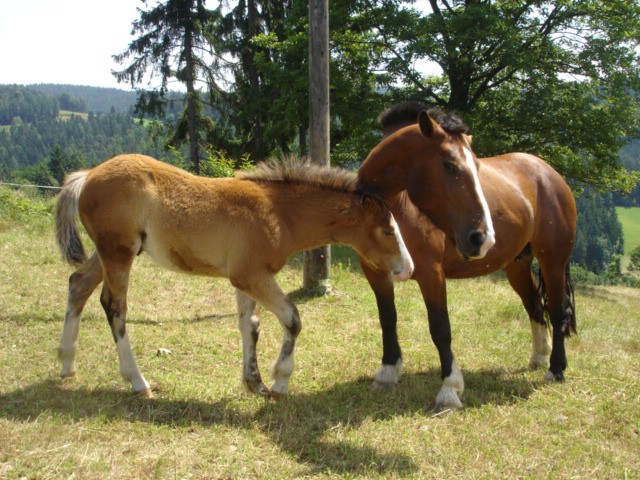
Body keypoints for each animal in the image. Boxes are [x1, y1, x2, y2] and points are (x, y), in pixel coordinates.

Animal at [56, 154, 416, 398]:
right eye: (387, 231)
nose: (408, 269)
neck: (280, 214)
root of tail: (88, 175)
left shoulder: (243, 279)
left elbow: (250, 326)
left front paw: (254, 382)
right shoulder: (252, 275)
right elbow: (292, 318)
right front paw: (280, 381)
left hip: (109, 252)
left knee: (78, 285)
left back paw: (66, 364)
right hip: (118, 252)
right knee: (114, 306)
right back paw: (137, 381)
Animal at [358, 105, 576, 412]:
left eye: (478, 166)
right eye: (449, 165)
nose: (482, 238)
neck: (397, 207)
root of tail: (548, 173)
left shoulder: (431, 273)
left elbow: (440, 328)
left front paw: (449, 390)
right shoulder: (375, 273)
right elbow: (387, 318)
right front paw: (387, 373)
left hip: (553, 261)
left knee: (556, 311)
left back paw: (555, 369)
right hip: (517, 265)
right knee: (534, 304)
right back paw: (539, 356)